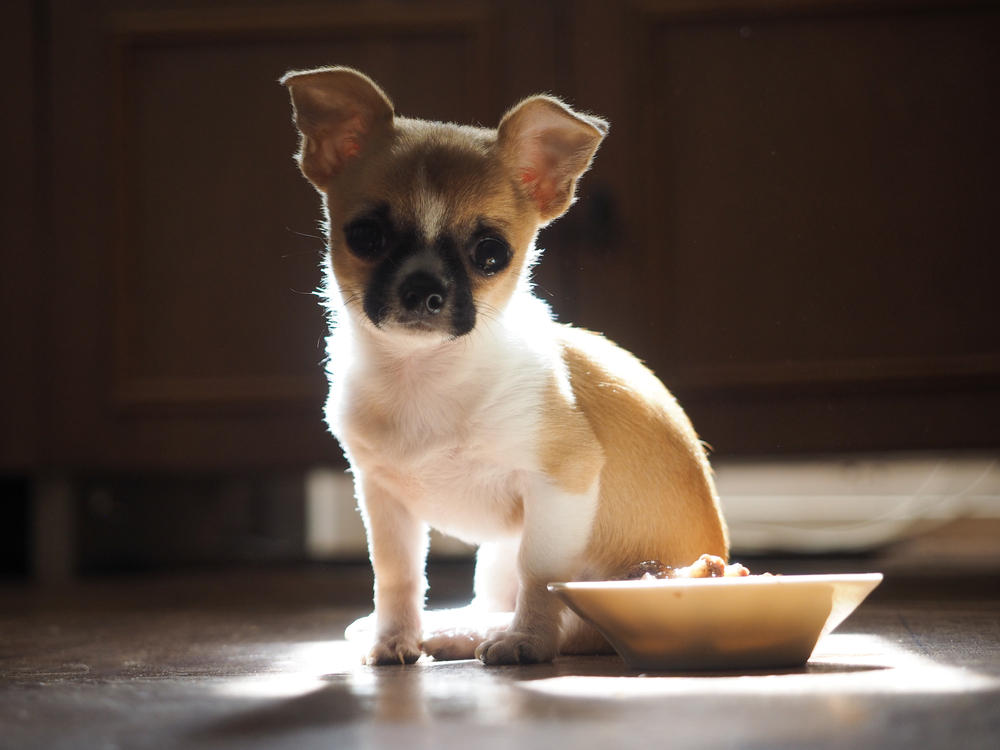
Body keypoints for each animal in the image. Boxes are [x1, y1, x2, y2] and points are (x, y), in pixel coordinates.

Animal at [282, 67, 728, 668]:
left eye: (491, 254)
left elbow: (539, 576)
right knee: (485, 595)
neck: (424, 375)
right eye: (366, 237)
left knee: (561, 616)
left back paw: (481, 634)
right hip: (493, 553)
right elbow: (397, 574)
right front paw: (393, 638)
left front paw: (527, 641)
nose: (422, 291)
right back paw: (444, 627)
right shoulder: (383, 497)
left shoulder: (561, 484)